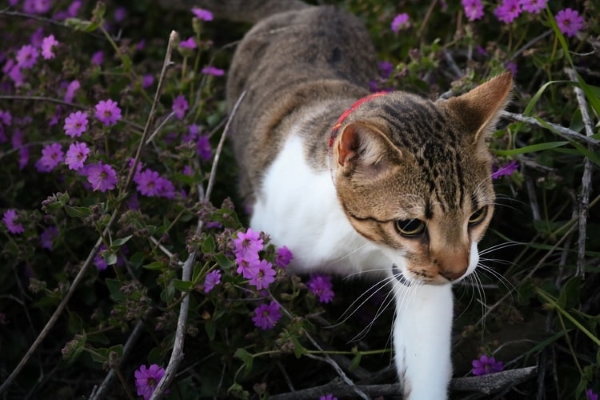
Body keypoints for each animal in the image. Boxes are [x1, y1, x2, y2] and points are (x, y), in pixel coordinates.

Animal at [164, 0, 510, 396]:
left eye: (476, 216)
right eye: (409, 225)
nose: (456, 271)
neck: (355, 237)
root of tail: (315, 10)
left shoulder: (418, 281)